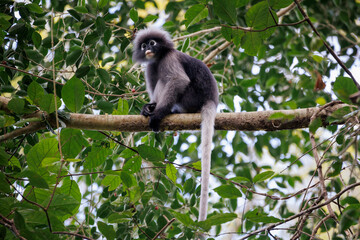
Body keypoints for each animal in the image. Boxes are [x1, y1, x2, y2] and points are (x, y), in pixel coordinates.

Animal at [133, 26, 219, 221]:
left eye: (152, 42)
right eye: (143, 45)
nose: (148, 48)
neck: (158, 58)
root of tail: (210, 100)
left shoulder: (169, 58)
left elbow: (178, 80)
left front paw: (157, 114)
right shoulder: (151, 66)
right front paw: (149, 107)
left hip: (191, 97)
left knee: (167, 80)